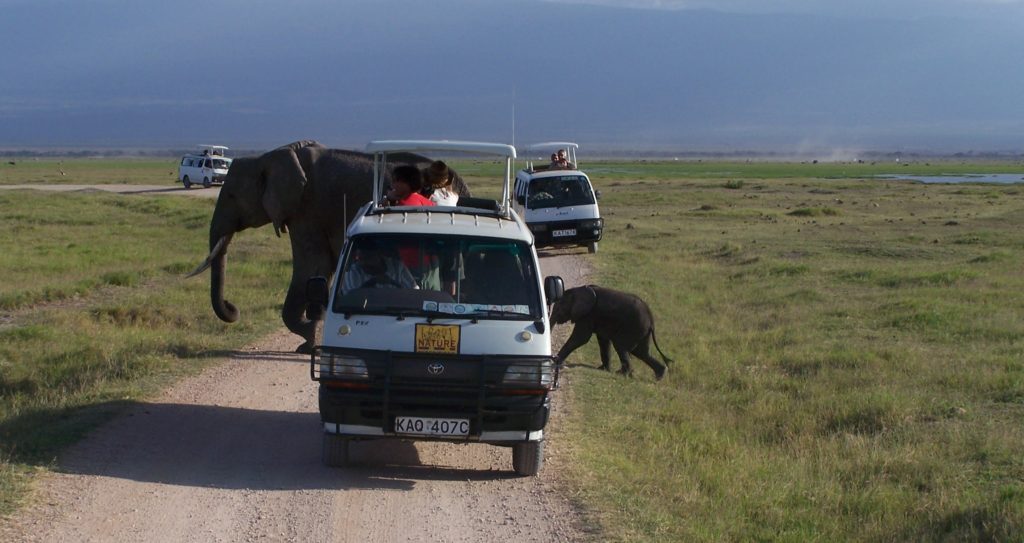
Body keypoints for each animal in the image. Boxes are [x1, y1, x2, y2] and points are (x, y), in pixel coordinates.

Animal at [189, 139, 471, 350]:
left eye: (231, 196)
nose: (232, 307)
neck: (268, 158)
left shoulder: (306, 209)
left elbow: (311, 265)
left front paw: (310, 338)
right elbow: (322, 270)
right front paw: (313, 336)